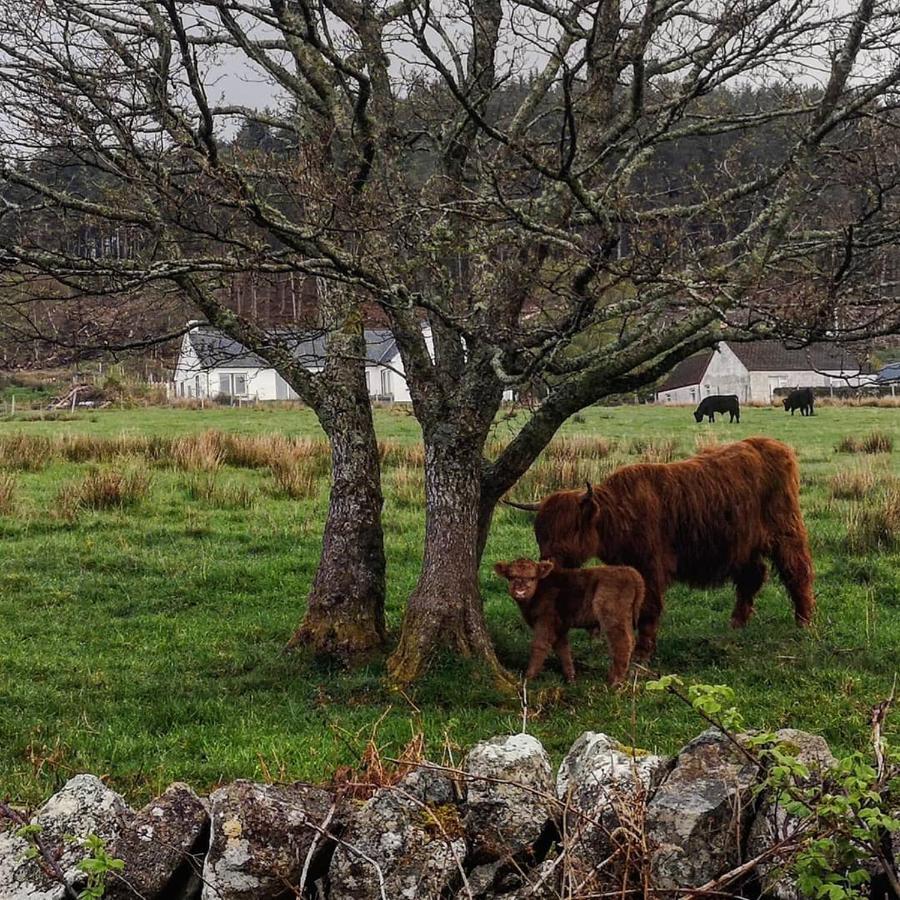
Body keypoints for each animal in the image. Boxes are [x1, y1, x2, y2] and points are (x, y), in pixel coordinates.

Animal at [492, 560, 648, 684]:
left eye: (532, 577)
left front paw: (528, 678)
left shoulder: (545, 621)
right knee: (630, 640)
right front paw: (571, 679)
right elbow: (563, 650)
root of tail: (630, 572)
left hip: (613, 618)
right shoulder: (560, 627)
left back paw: (614, 682)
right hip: (625, 618)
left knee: (622, 643)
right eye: (511, 576)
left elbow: (539, 646)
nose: (520, 590)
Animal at [506, 438, 816, 660]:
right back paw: (737, 624)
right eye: (540, 535)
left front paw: (643, 653)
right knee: (751, 578)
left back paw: (804, 622)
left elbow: (649, 608)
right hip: (742, 545)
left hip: (786, 532)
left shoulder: (651, 567)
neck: (618, 514)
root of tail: (770, 445)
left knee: (797, 573)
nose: (547, 565)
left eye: (569, 529)